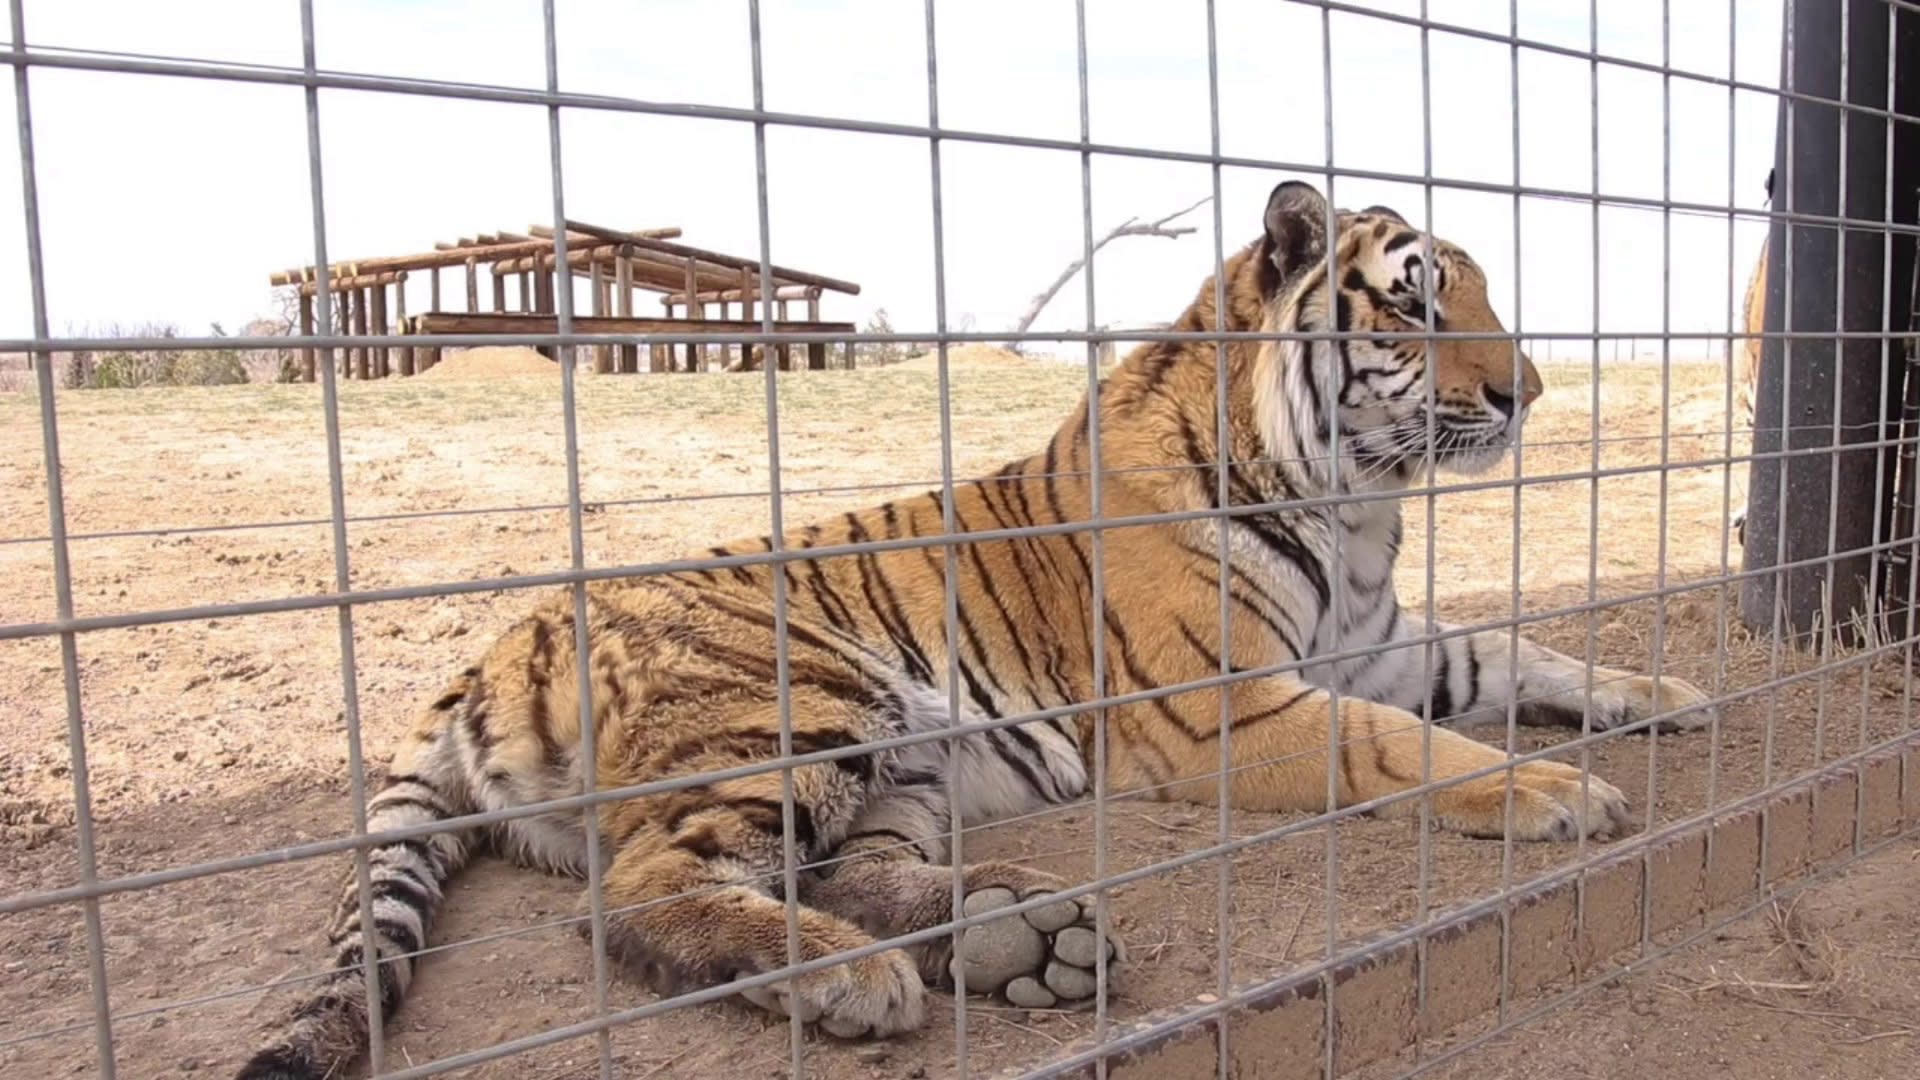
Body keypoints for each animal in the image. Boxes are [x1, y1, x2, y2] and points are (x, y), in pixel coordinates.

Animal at [236, 182, 1712, 1076]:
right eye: (1412, 300)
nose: (1529, 393)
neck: (1356, 507)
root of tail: (492, 651)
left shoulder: (1380, 645)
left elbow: (1525, 654)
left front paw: (1664, 695)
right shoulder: (1229, 710)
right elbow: (1405, 751)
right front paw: (1558, 792)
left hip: (907, 765)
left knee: (845, 869)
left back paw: (1020, 937)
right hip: (801, 700)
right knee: (638, 893)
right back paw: (848, 983)